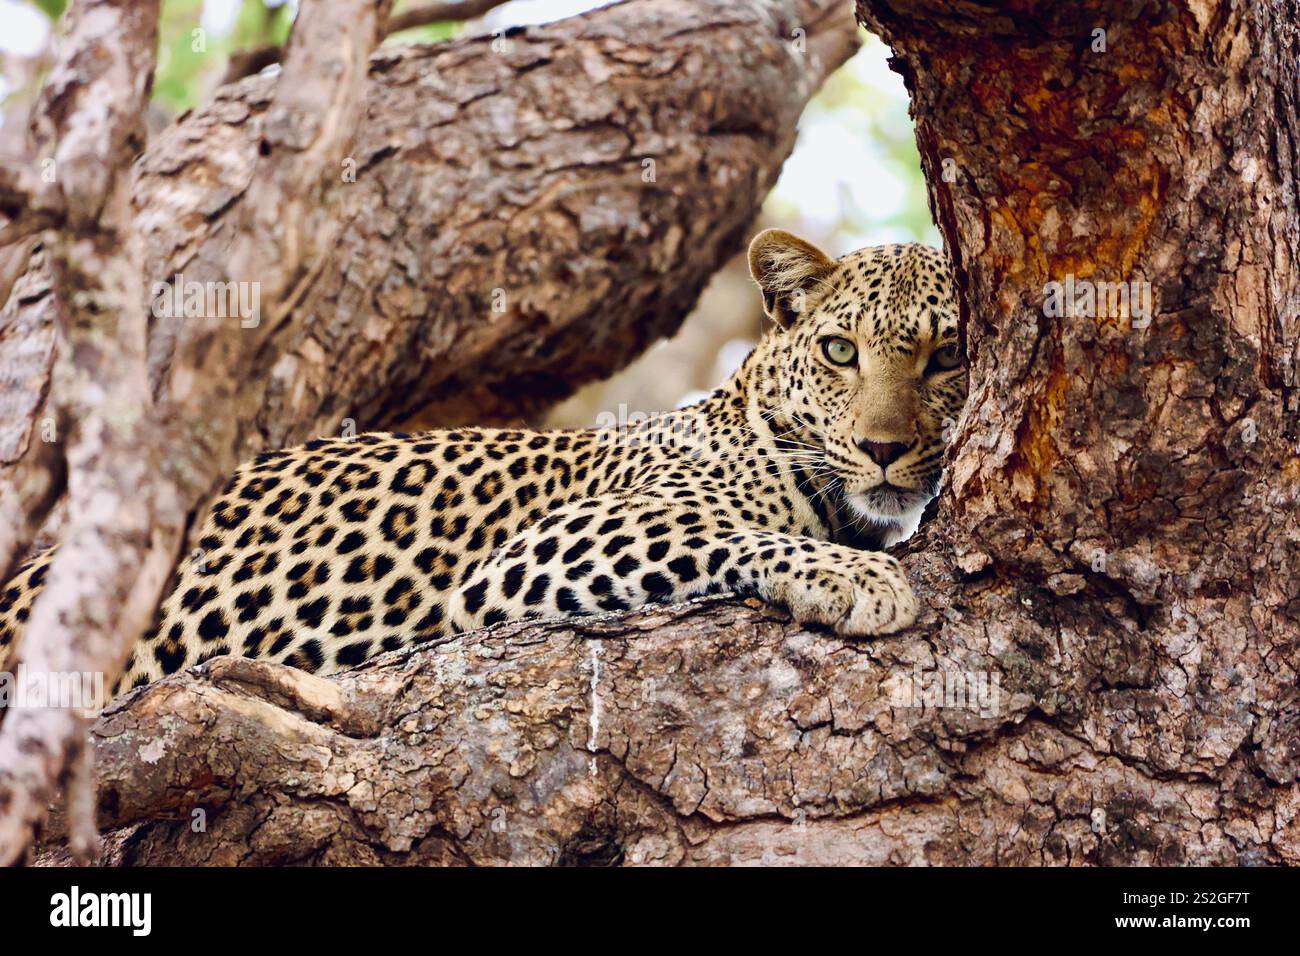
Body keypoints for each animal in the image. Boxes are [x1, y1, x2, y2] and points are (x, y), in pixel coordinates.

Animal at [0, 229, 966, 699]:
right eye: (841, 352)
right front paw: (856, 578)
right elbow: (722, 527)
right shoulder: (551, 545)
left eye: (947, 357)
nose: (883, 449)